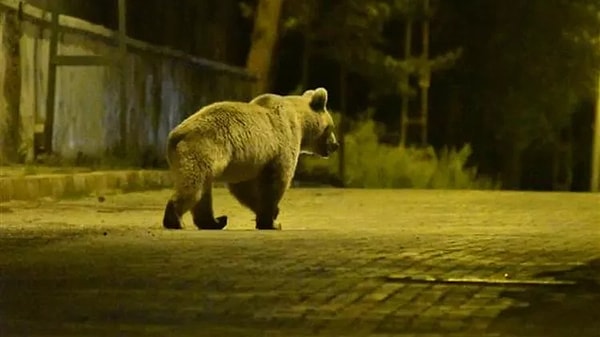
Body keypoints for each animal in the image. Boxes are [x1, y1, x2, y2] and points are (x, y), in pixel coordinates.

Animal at [161, 86, 338, 230]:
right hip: (205, 149)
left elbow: (244, 188)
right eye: (330, 127)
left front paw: (270, 214)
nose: (335, 145)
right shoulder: (282, 143)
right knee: (194, 186)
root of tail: (175, 135)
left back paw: (215, 221)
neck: (301, 122)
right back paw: (175, 220)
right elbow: (277, 181)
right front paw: (272, 221)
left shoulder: (245, 162)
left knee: (203, 192)